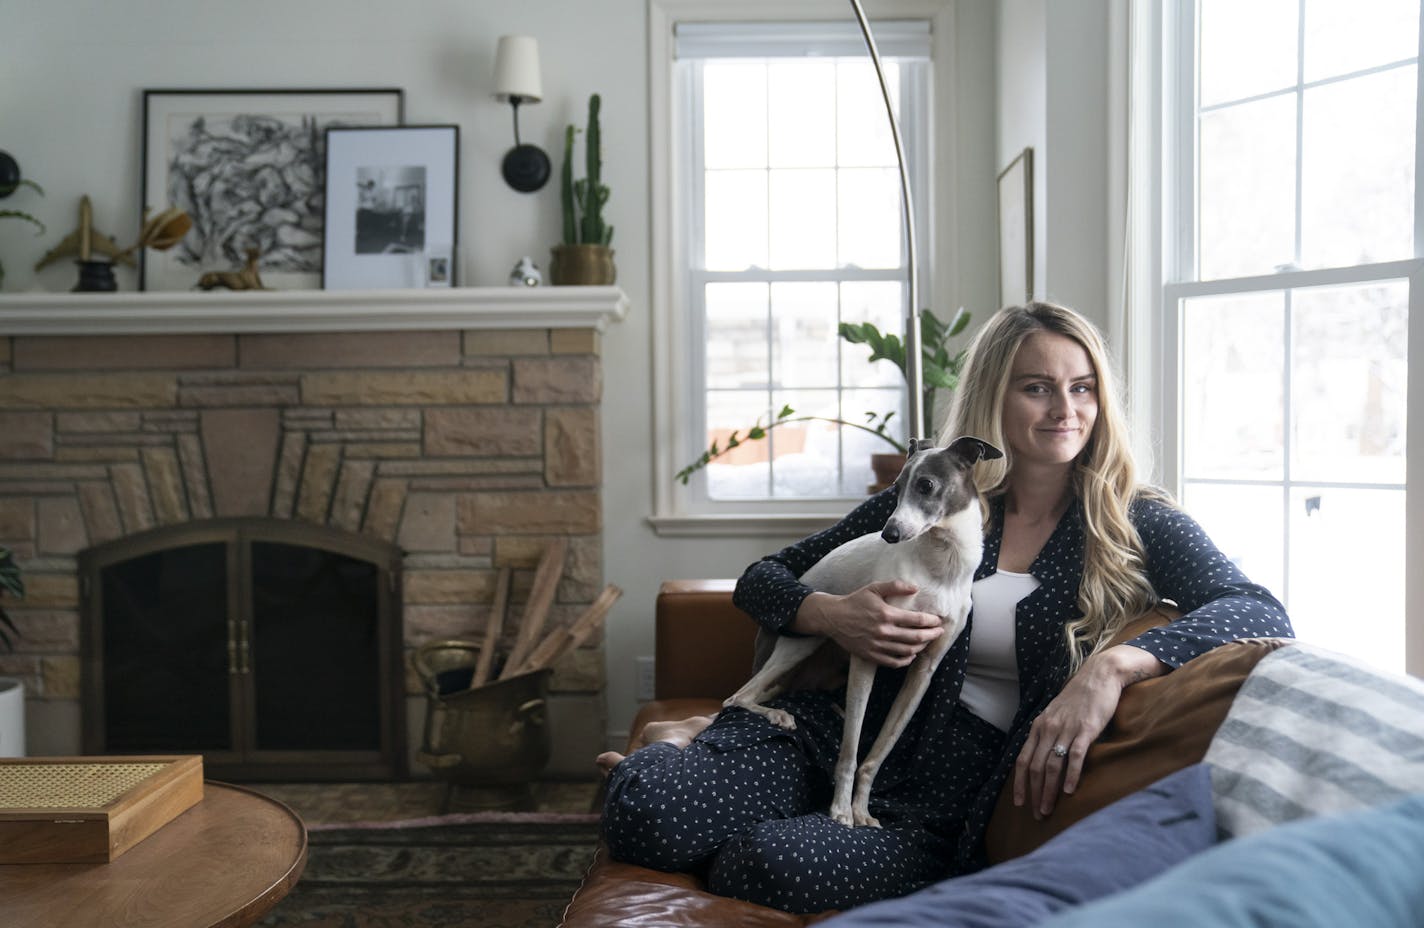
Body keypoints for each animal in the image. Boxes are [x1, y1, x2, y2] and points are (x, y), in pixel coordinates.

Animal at [723, 435, 1002, 825]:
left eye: (926, 485)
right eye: (895, 488)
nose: (889, 534)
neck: (941, 566)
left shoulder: (923, 671)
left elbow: (876, 755)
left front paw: (862, 809)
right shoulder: (867, 652)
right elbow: (850, 751)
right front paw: (842, 809)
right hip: (803, 643)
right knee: (737, 697)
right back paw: (778, 714)